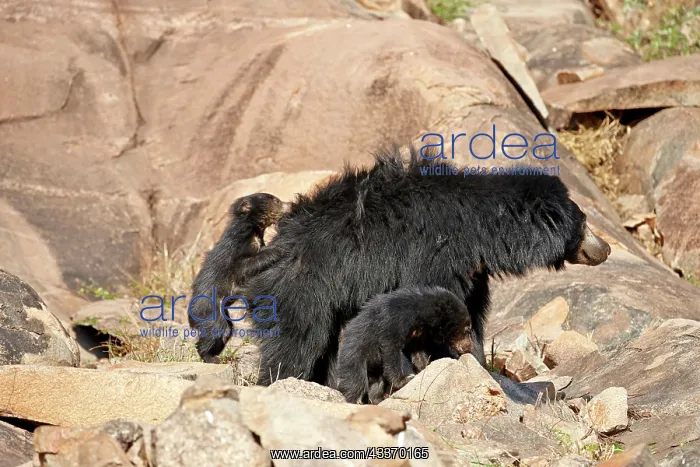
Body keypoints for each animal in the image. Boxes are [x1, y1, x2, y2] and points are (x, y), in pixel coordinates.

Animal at [188, 193, 290, 360]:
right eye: (275, 200)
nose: (290, 204)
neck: (254, 230)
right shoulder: (237, 248)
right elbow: (243, 266)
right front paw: (279, 248)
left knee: (227, 330)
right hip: (210, 310)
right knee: (217, 329)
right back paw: (210, 357)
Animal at [334, 286, 472, 404]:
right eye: (467, 330)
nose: (469, 347)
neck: (422, 315)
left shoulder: (417, 333)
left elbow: (418, 351)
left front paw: (425, 366)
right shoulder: (394, 321)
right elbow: (391, 349)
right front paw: (405, 379)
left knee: (376, 383)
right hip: (355, 354)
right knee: (355, 380)